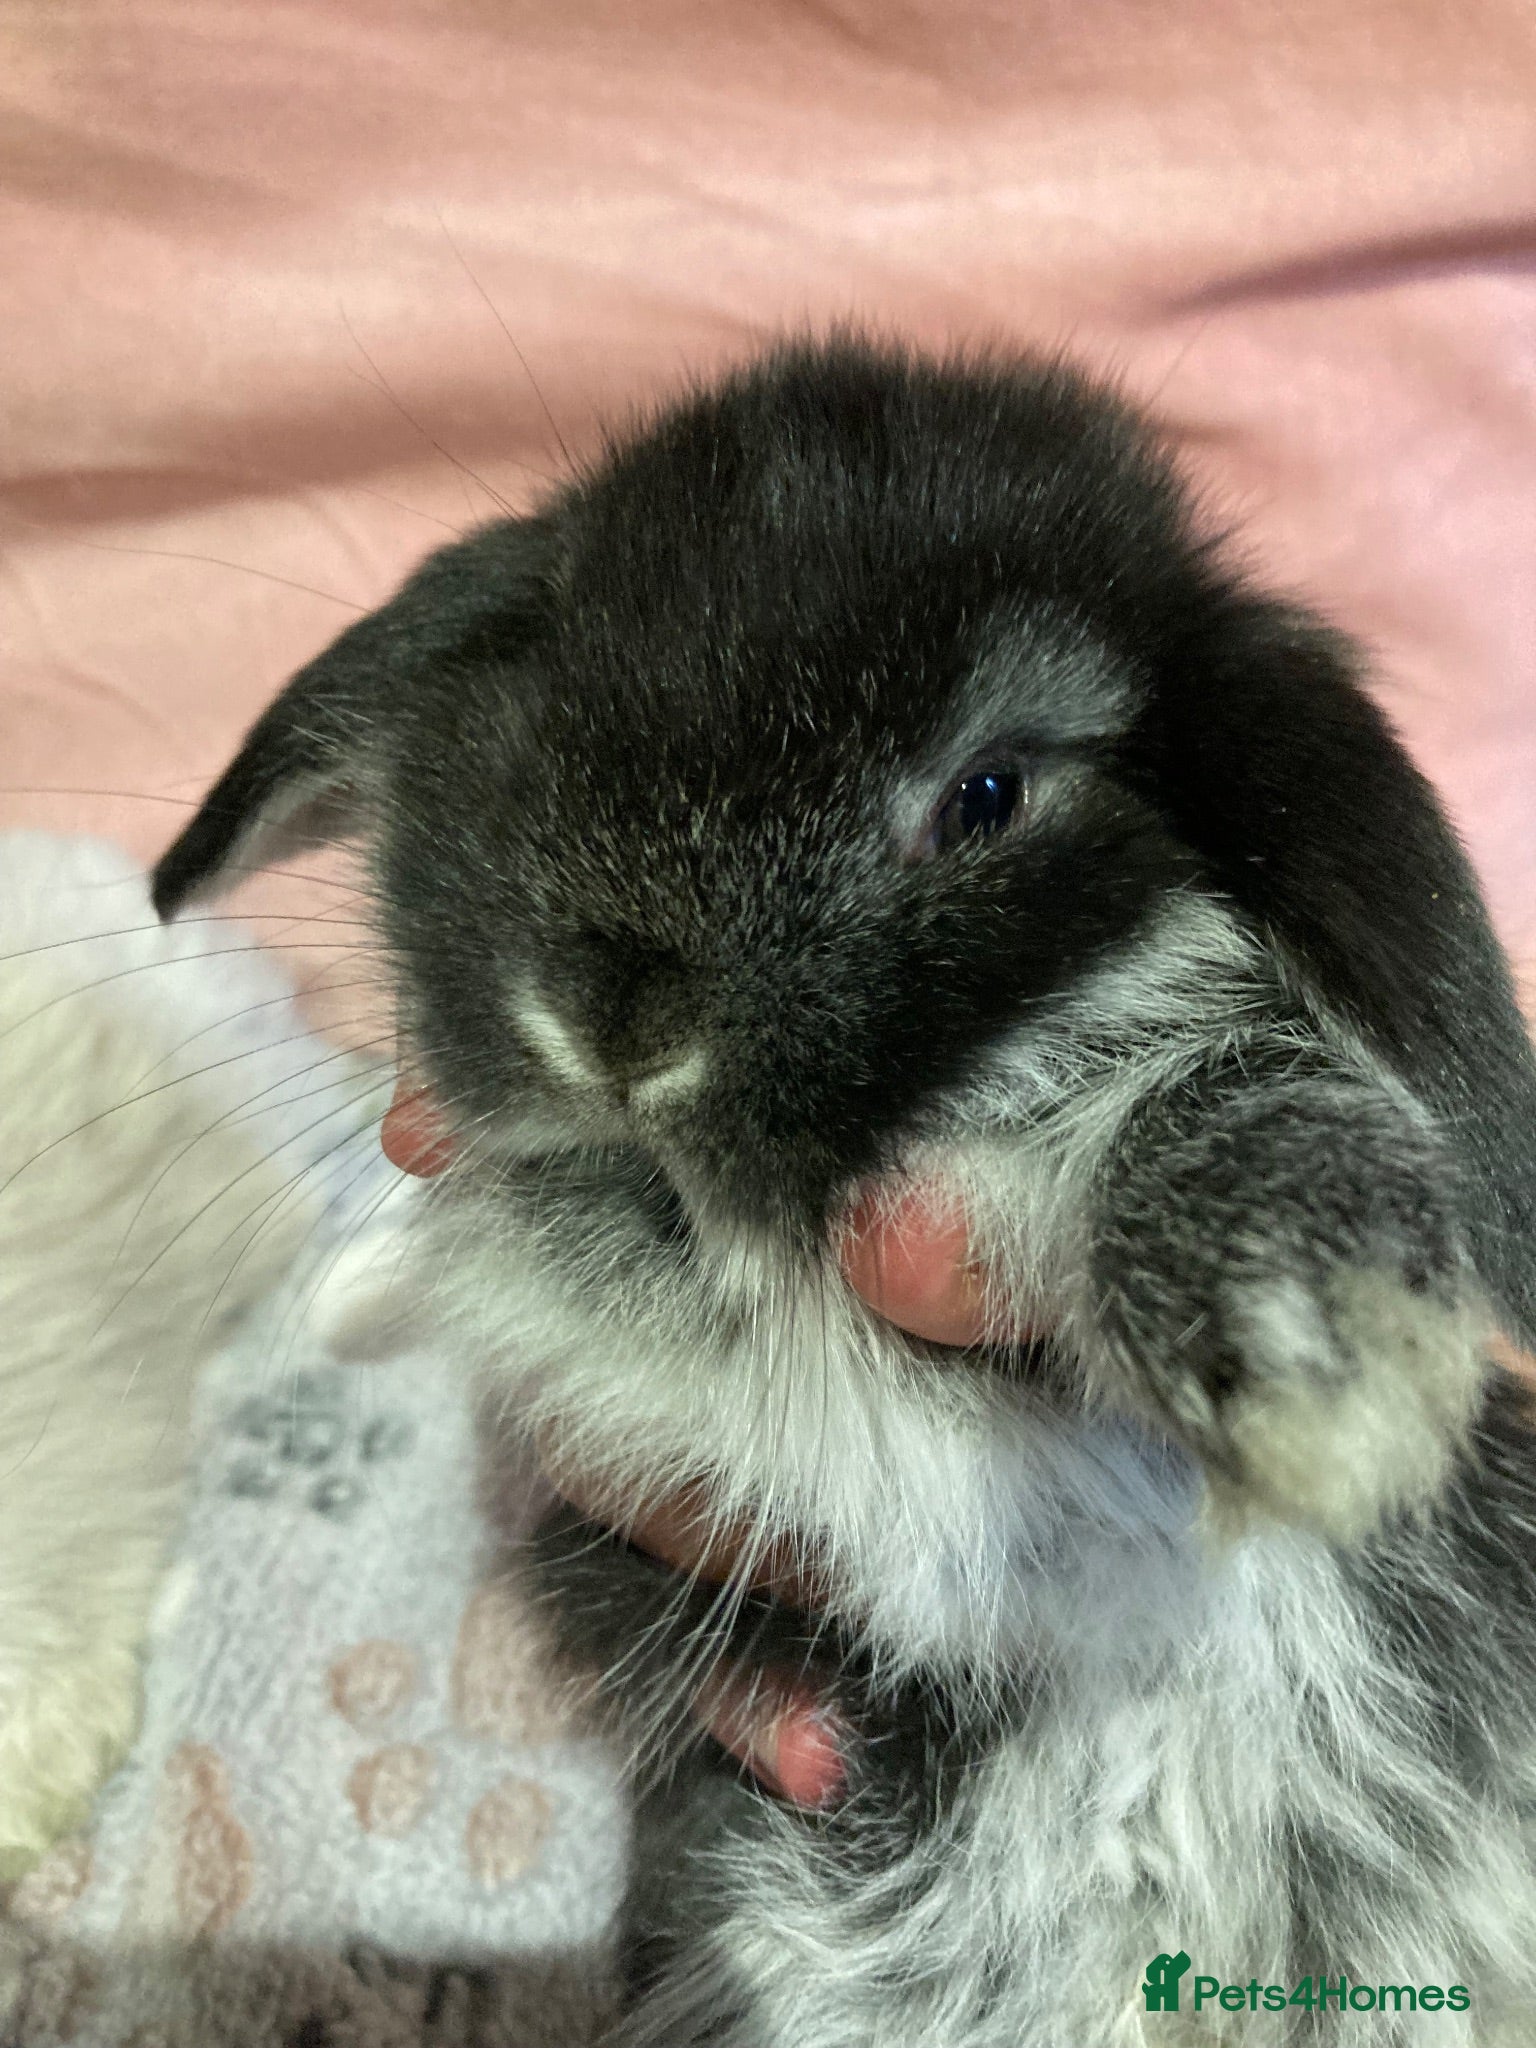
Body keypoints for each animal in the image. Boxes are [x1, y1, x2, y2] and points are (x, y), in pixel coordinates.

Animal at [152, 339, 1536, 2045]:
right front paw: (375, 1287)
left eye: (989, 794)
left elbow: (1225, 1103)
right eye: (541, 688)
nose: (614, 1016)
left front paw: (1335, 1388)